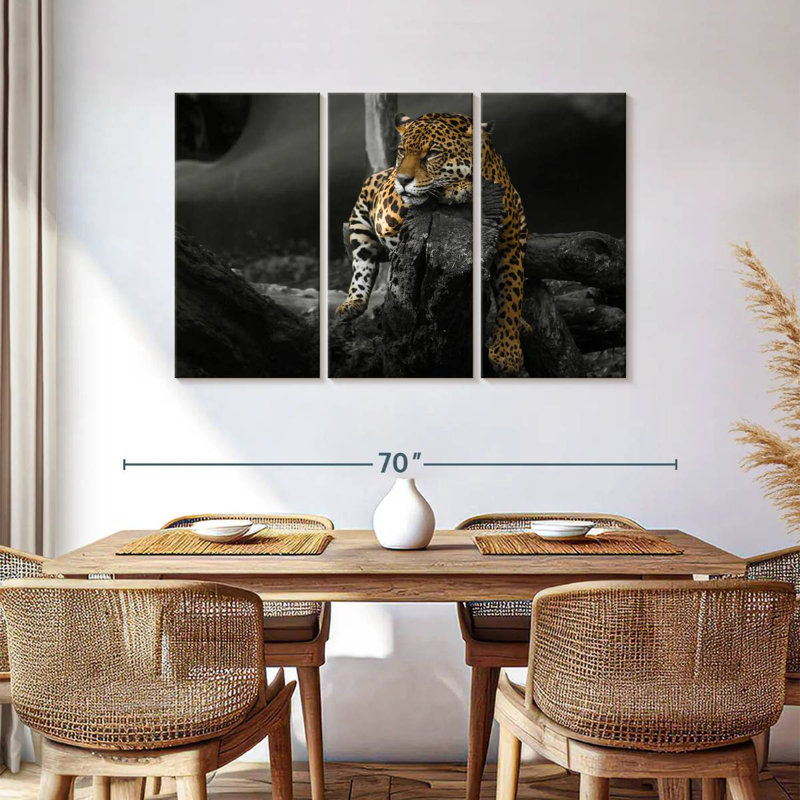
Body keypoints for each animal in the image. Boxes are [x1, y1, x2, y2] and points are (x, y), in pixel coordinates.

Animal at [335, 111, 528, 377]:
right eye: (402, 151)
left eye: (432, 154)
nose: (402, 179)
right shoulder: (389, 203)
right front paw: (458, 187)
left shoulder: (509, 246)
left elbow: (512, 293)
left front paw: (508, 353)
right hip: (362, 218)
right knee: (362, 263)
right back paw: (353, 302)